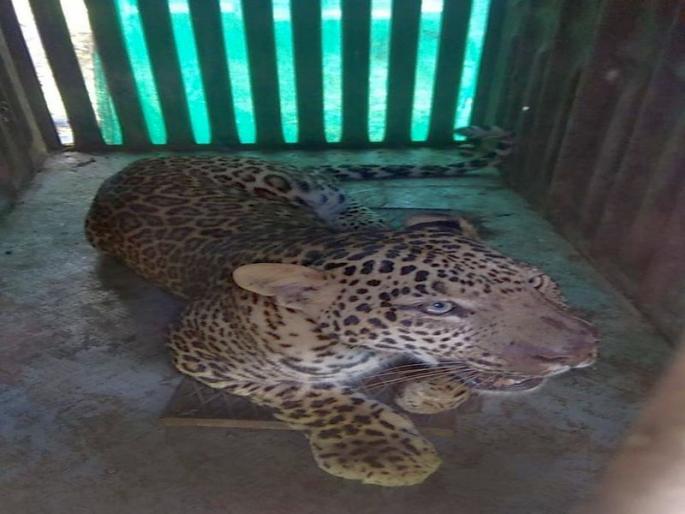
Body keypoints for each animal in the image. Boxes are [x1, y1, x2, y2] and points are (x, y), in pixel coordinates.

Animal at [85, 126, 598, 487]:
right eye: (438, 308)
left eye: (537, 282)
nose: (581, 351)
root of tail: (130, 169)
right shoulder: (192, 343)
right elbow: (300, 390)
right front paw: (381, 450)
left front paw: (431, 392)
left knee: (356, 206)